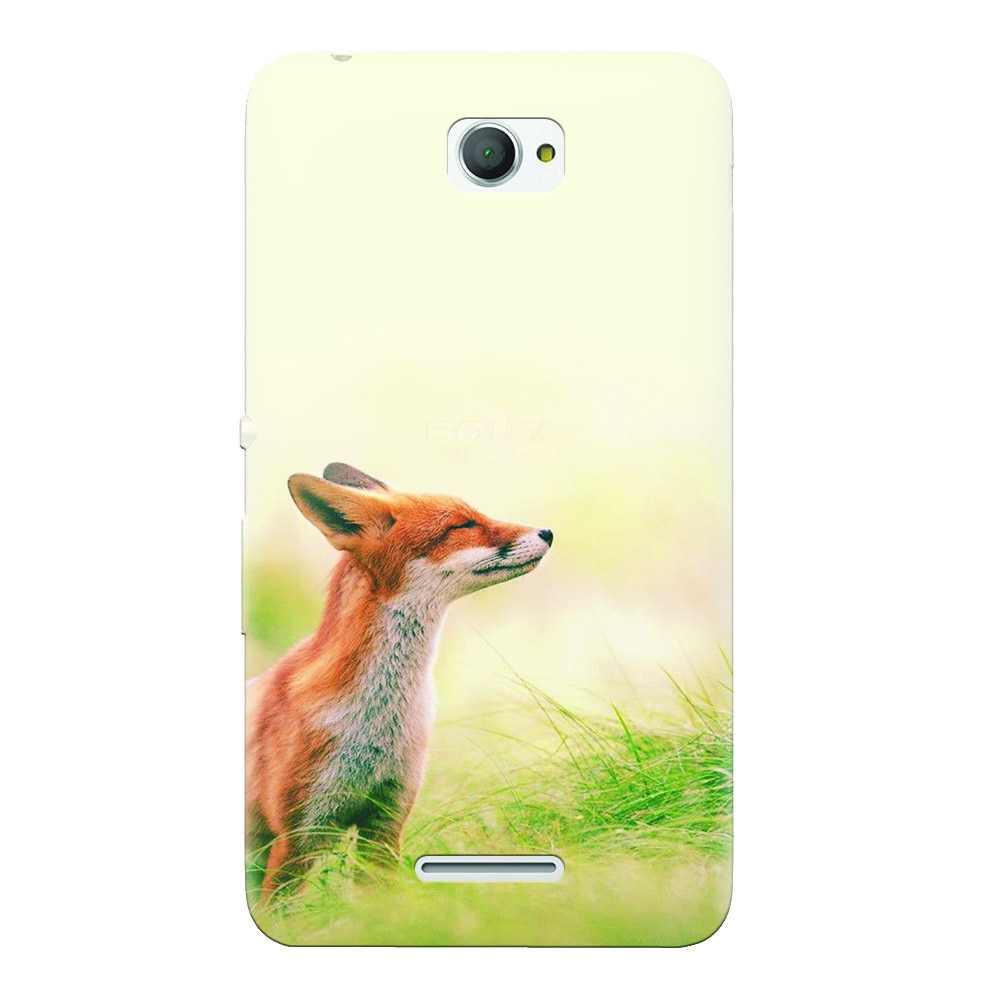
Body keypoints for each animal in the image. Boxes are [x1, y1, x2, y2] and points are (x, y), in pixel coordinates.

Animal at [246, 462, 553, 897]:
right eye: (463, 525)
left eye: (475, 514)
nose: (548, 532)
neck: (376, 723)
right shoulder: (296, 836)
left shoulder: (385, 822)